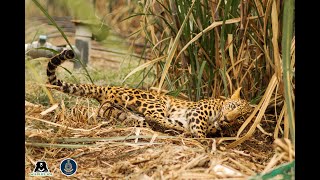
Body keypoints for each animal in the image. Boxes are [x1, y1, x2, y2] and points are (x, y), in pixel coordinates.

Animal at [47, 49, 252, 138]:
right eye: (233, 106)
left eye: (241, 118)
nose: (228, 118)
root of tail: (109, 88)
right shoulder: (197, 112)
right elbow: (199, 129)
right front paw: (202, 140)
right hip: (154, 101)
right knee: (155, 117)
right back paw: (171, 129)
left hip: (119, 111)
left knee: (139, 118)